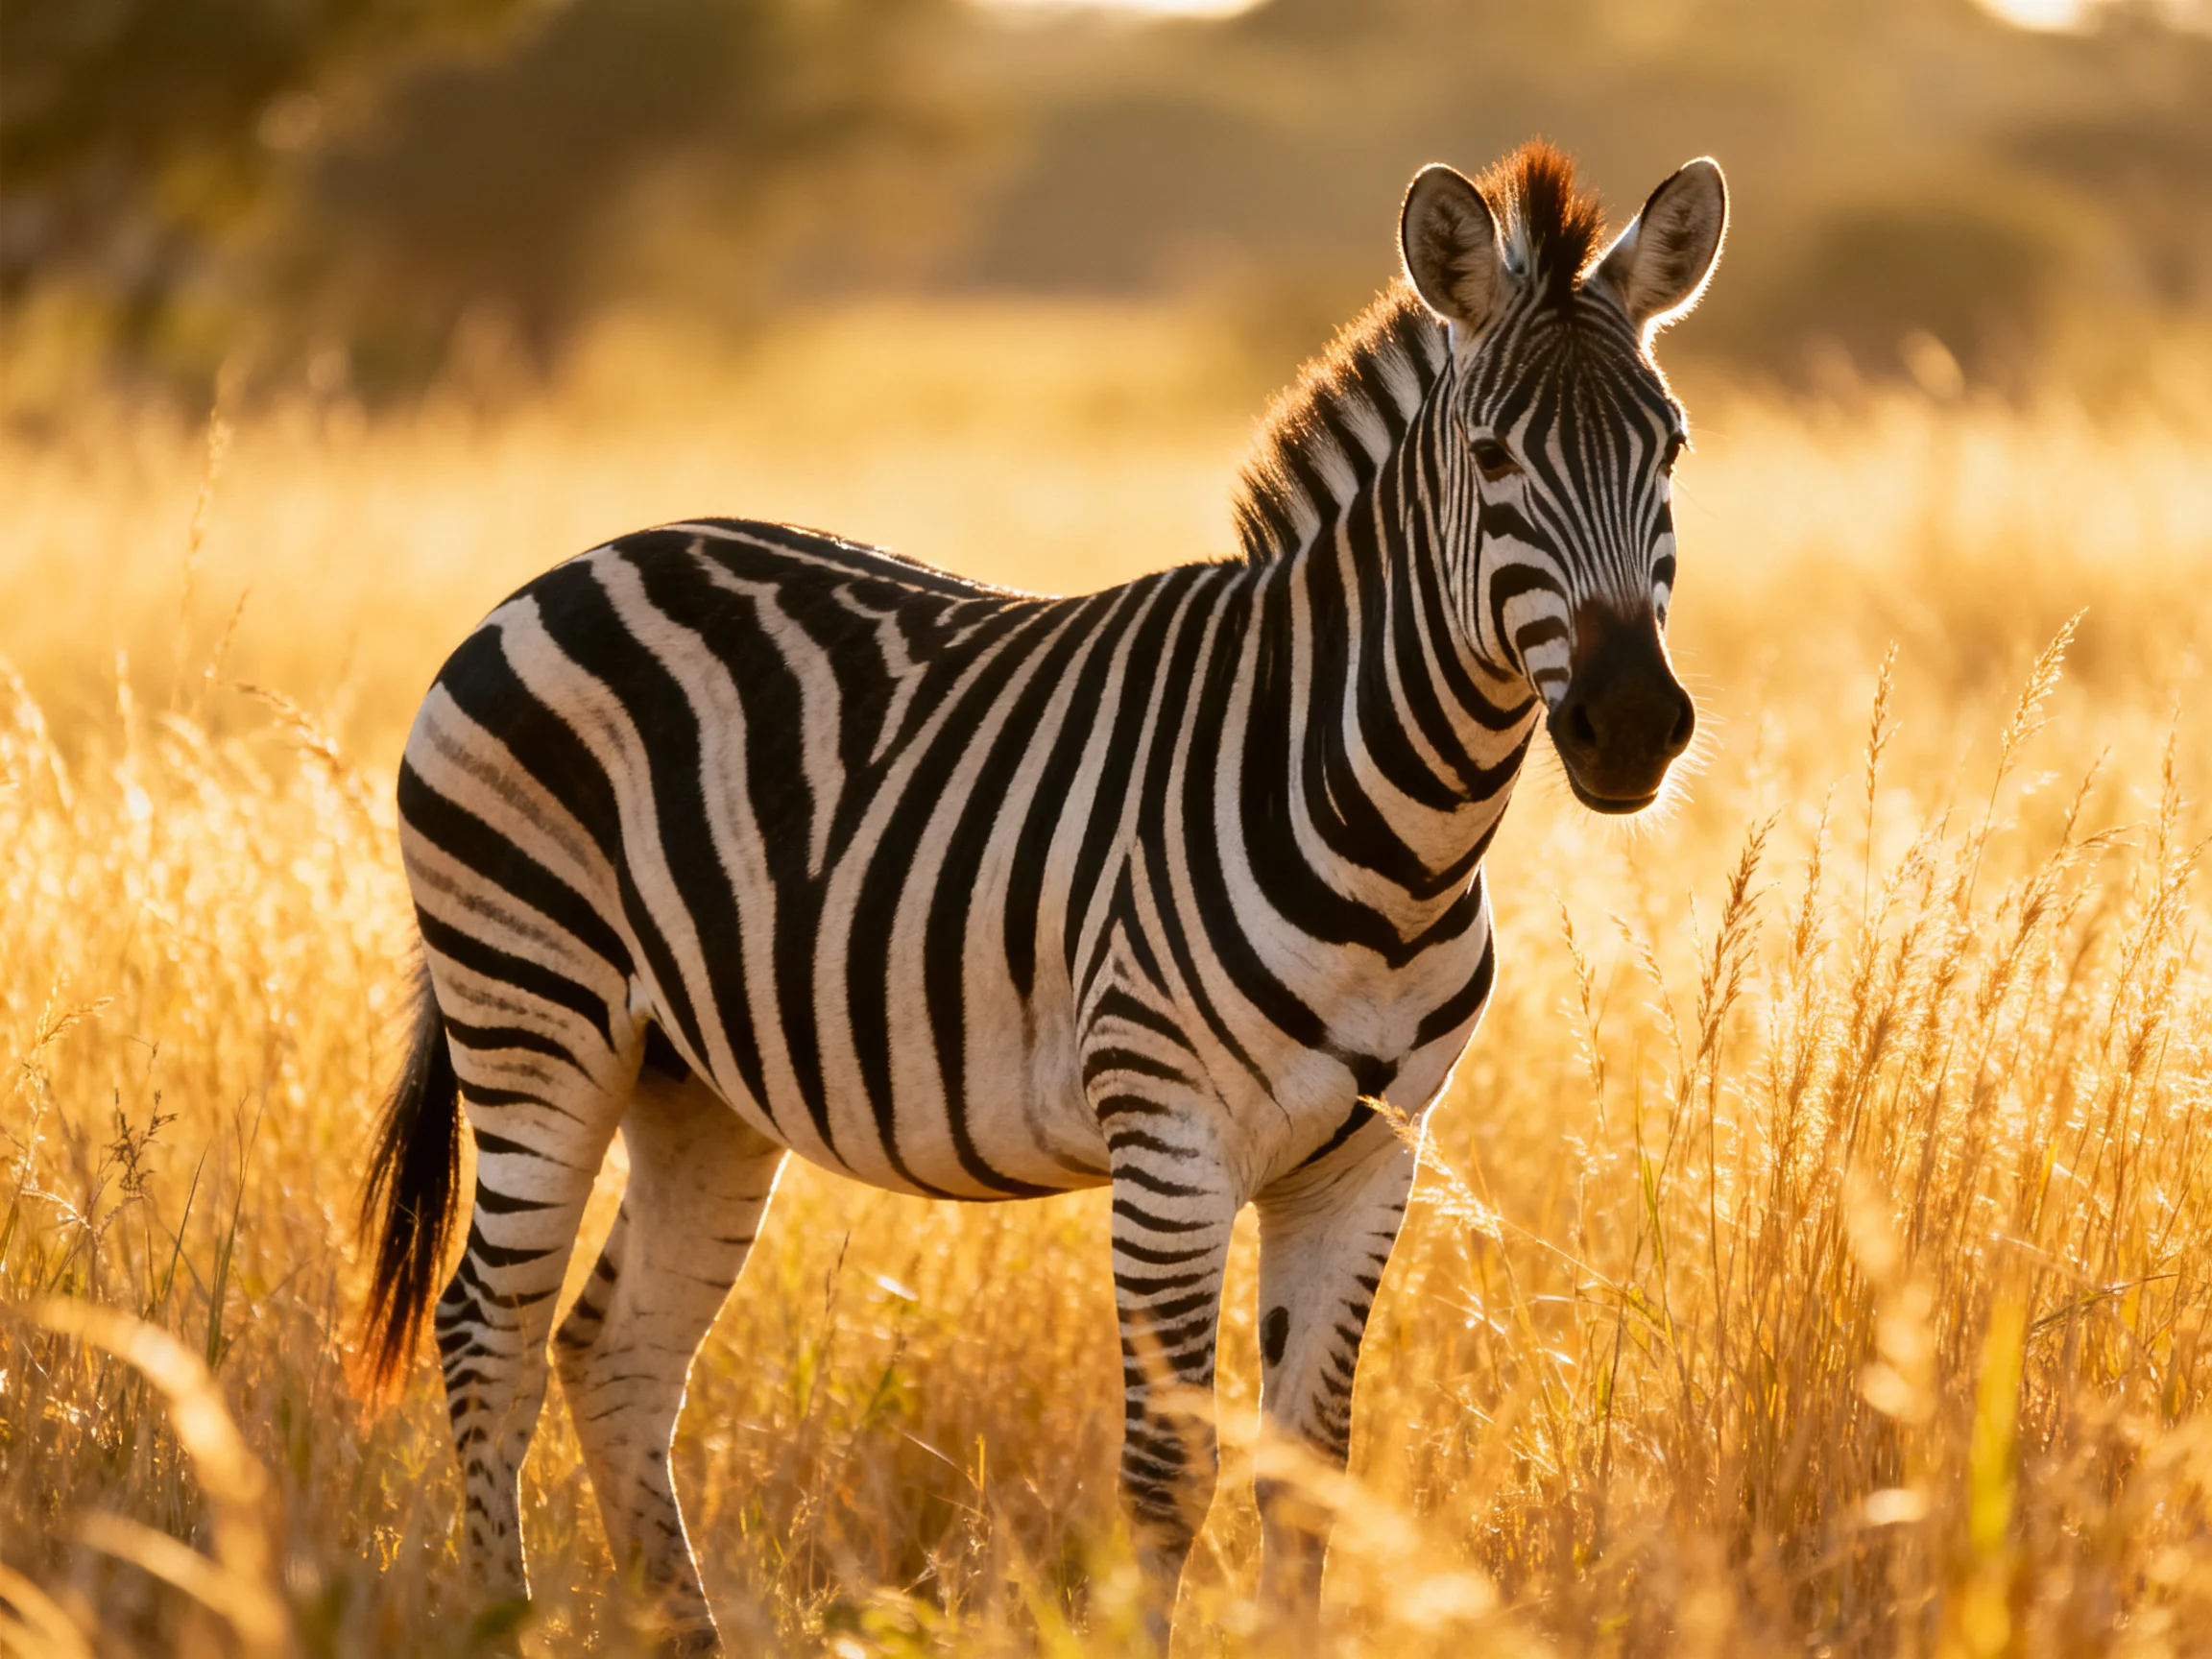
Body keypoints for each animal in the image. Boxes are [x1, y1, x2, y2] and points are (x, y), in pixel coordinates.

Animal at [359, 139, 1725, 1651]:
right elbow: (1168, 1475)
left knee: (617, 1351)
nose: (1631, 726)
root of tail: (565, 571)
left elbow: (1307, 1475)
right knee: (488, 1332)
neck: (1390, 831)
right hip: (534, 1017)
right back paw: (494, 1610)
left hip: (694, 1083)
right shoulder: (1171, 1143)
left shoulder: (1372, 1158)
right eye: (1490, 459)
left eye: (1671, 450)